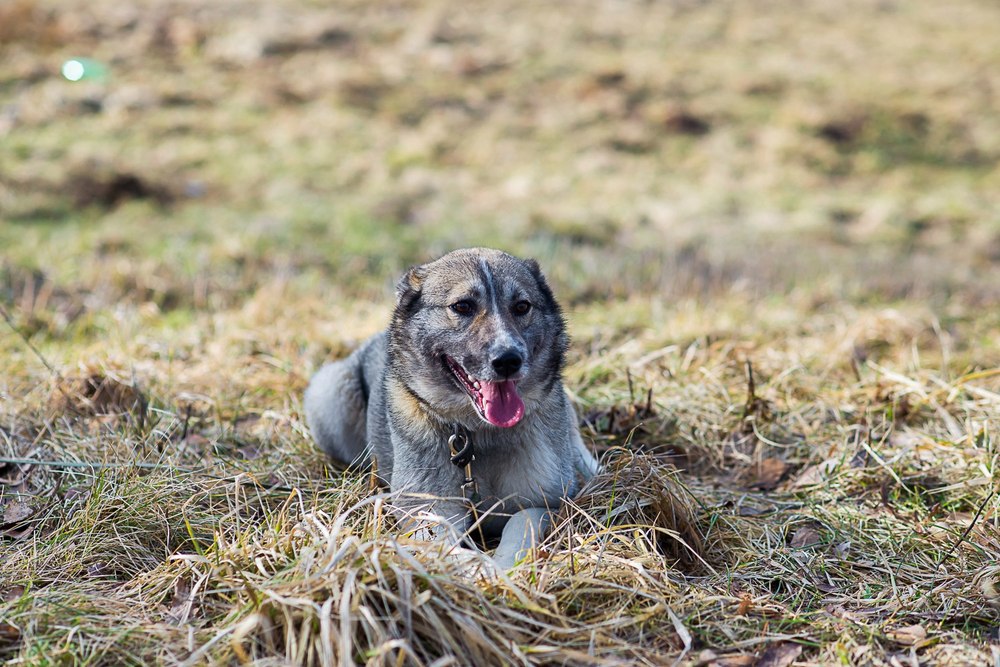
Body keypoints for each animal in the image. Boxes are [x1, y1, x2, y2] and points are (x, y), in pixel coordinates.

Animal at [304, 249, 596, 568]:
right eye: (462, 306)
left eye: (521, 306)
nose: (508, 360)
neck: (480, 433)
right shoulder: (428, 510)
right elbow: (445, 544)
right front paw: (478, 568)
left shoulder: (543, 502)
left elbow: (520, 525)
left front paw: (503, 567)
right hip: (331, 394)